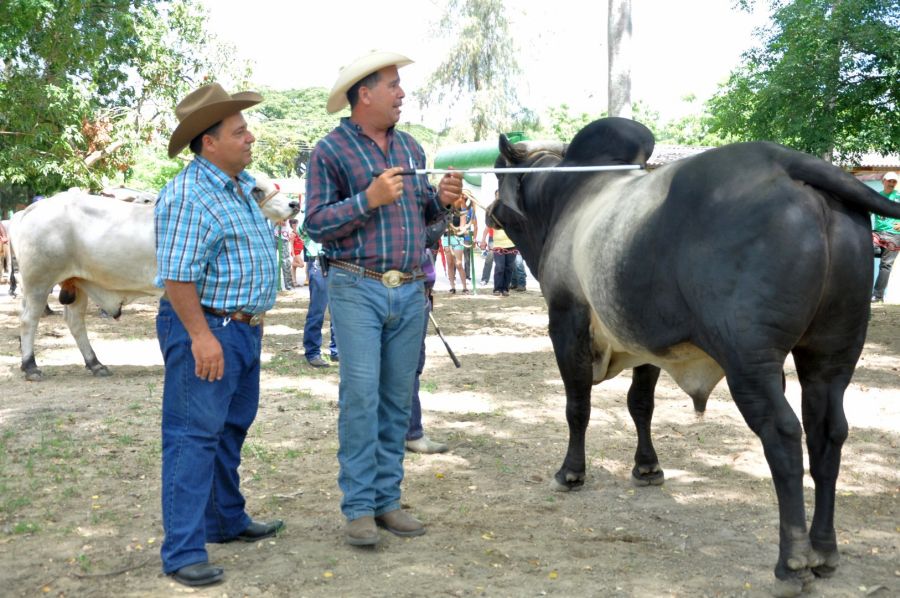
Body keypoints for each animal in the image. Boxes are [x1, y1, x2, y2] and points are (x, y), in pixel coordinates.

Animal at [8, 179, 298, 384]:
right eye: (256, 188)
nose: (294, 204)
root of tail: (31, 209)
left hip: (77, 283)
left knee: (75, 322)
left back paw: (95, 364)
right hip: (38, 281)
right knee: (28, 320)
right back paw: (31, 366)